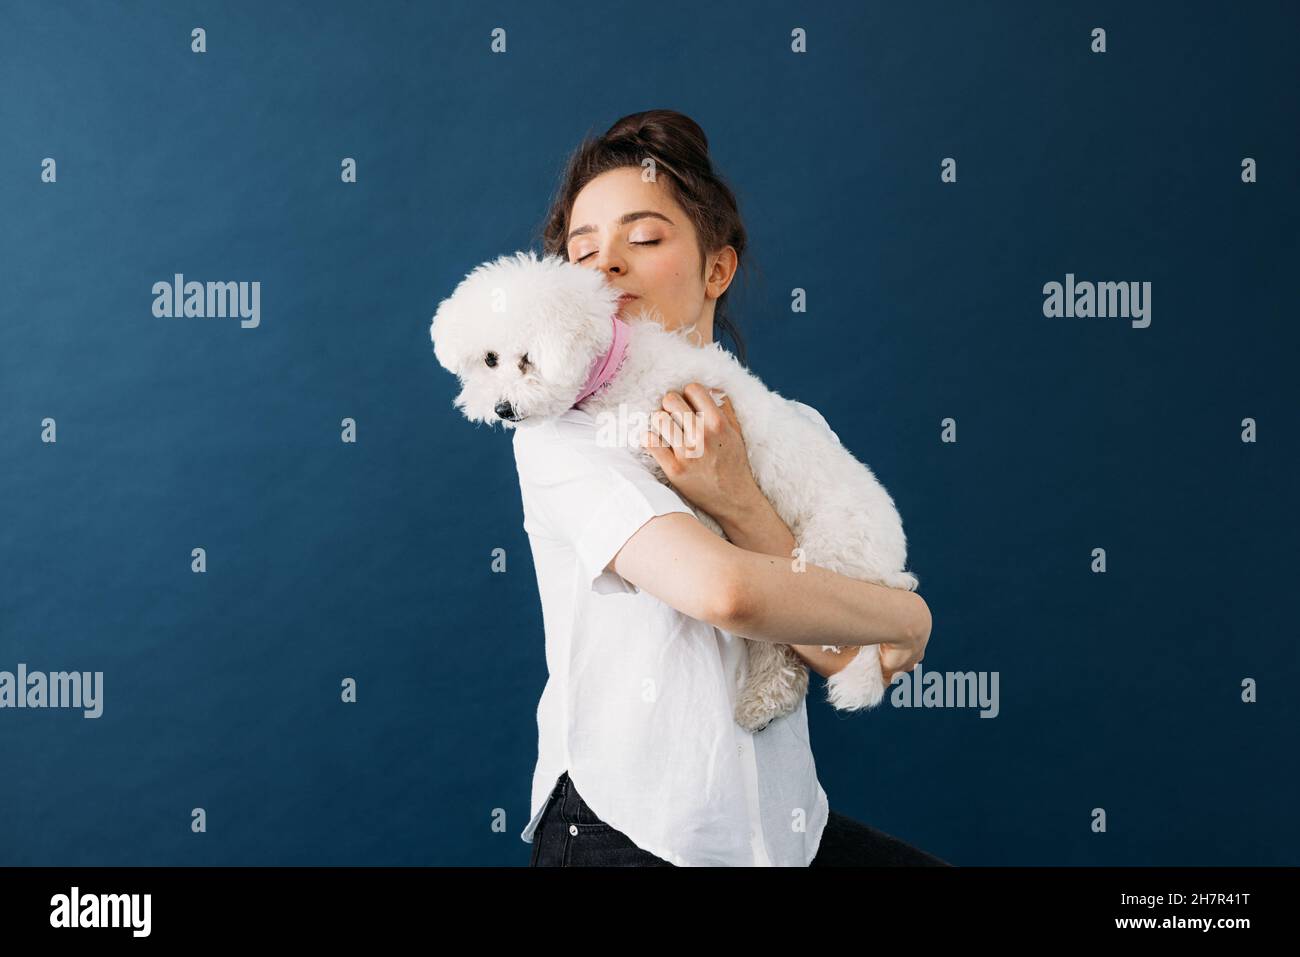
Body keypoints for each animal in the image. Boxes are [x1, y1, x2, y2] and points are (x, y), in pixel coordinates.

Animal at [431, 248, 920, 733]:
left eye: (527, 359)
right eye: (490, 359)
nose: (502, 409)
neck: (619, 365)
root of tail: (892, 564)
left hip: (823, 562)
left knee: (789, 648)